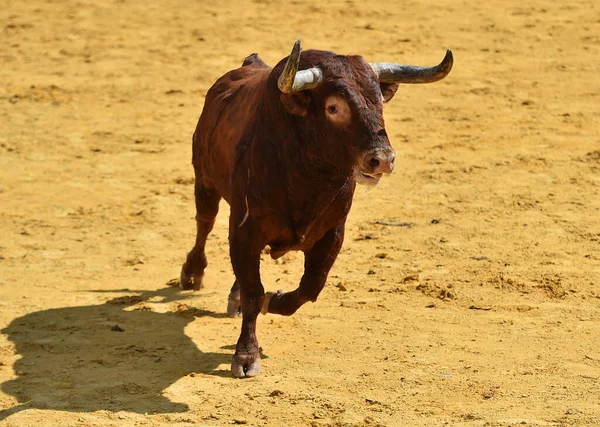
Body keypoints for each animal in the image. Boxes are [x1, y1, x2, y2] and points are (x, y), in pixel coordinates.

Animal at [180, 41, 452, 378]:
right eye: (333, 107)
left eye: (379, 101)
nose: (383, 159)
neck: (307, 175)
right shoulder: (244, 229)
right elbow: (254, 291)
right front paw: (246, 356)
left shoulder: (333, 232)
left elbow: (310, 287)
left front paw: (275, 300)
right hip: (204, 179)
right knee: (204, 222)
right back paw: (193, 274)